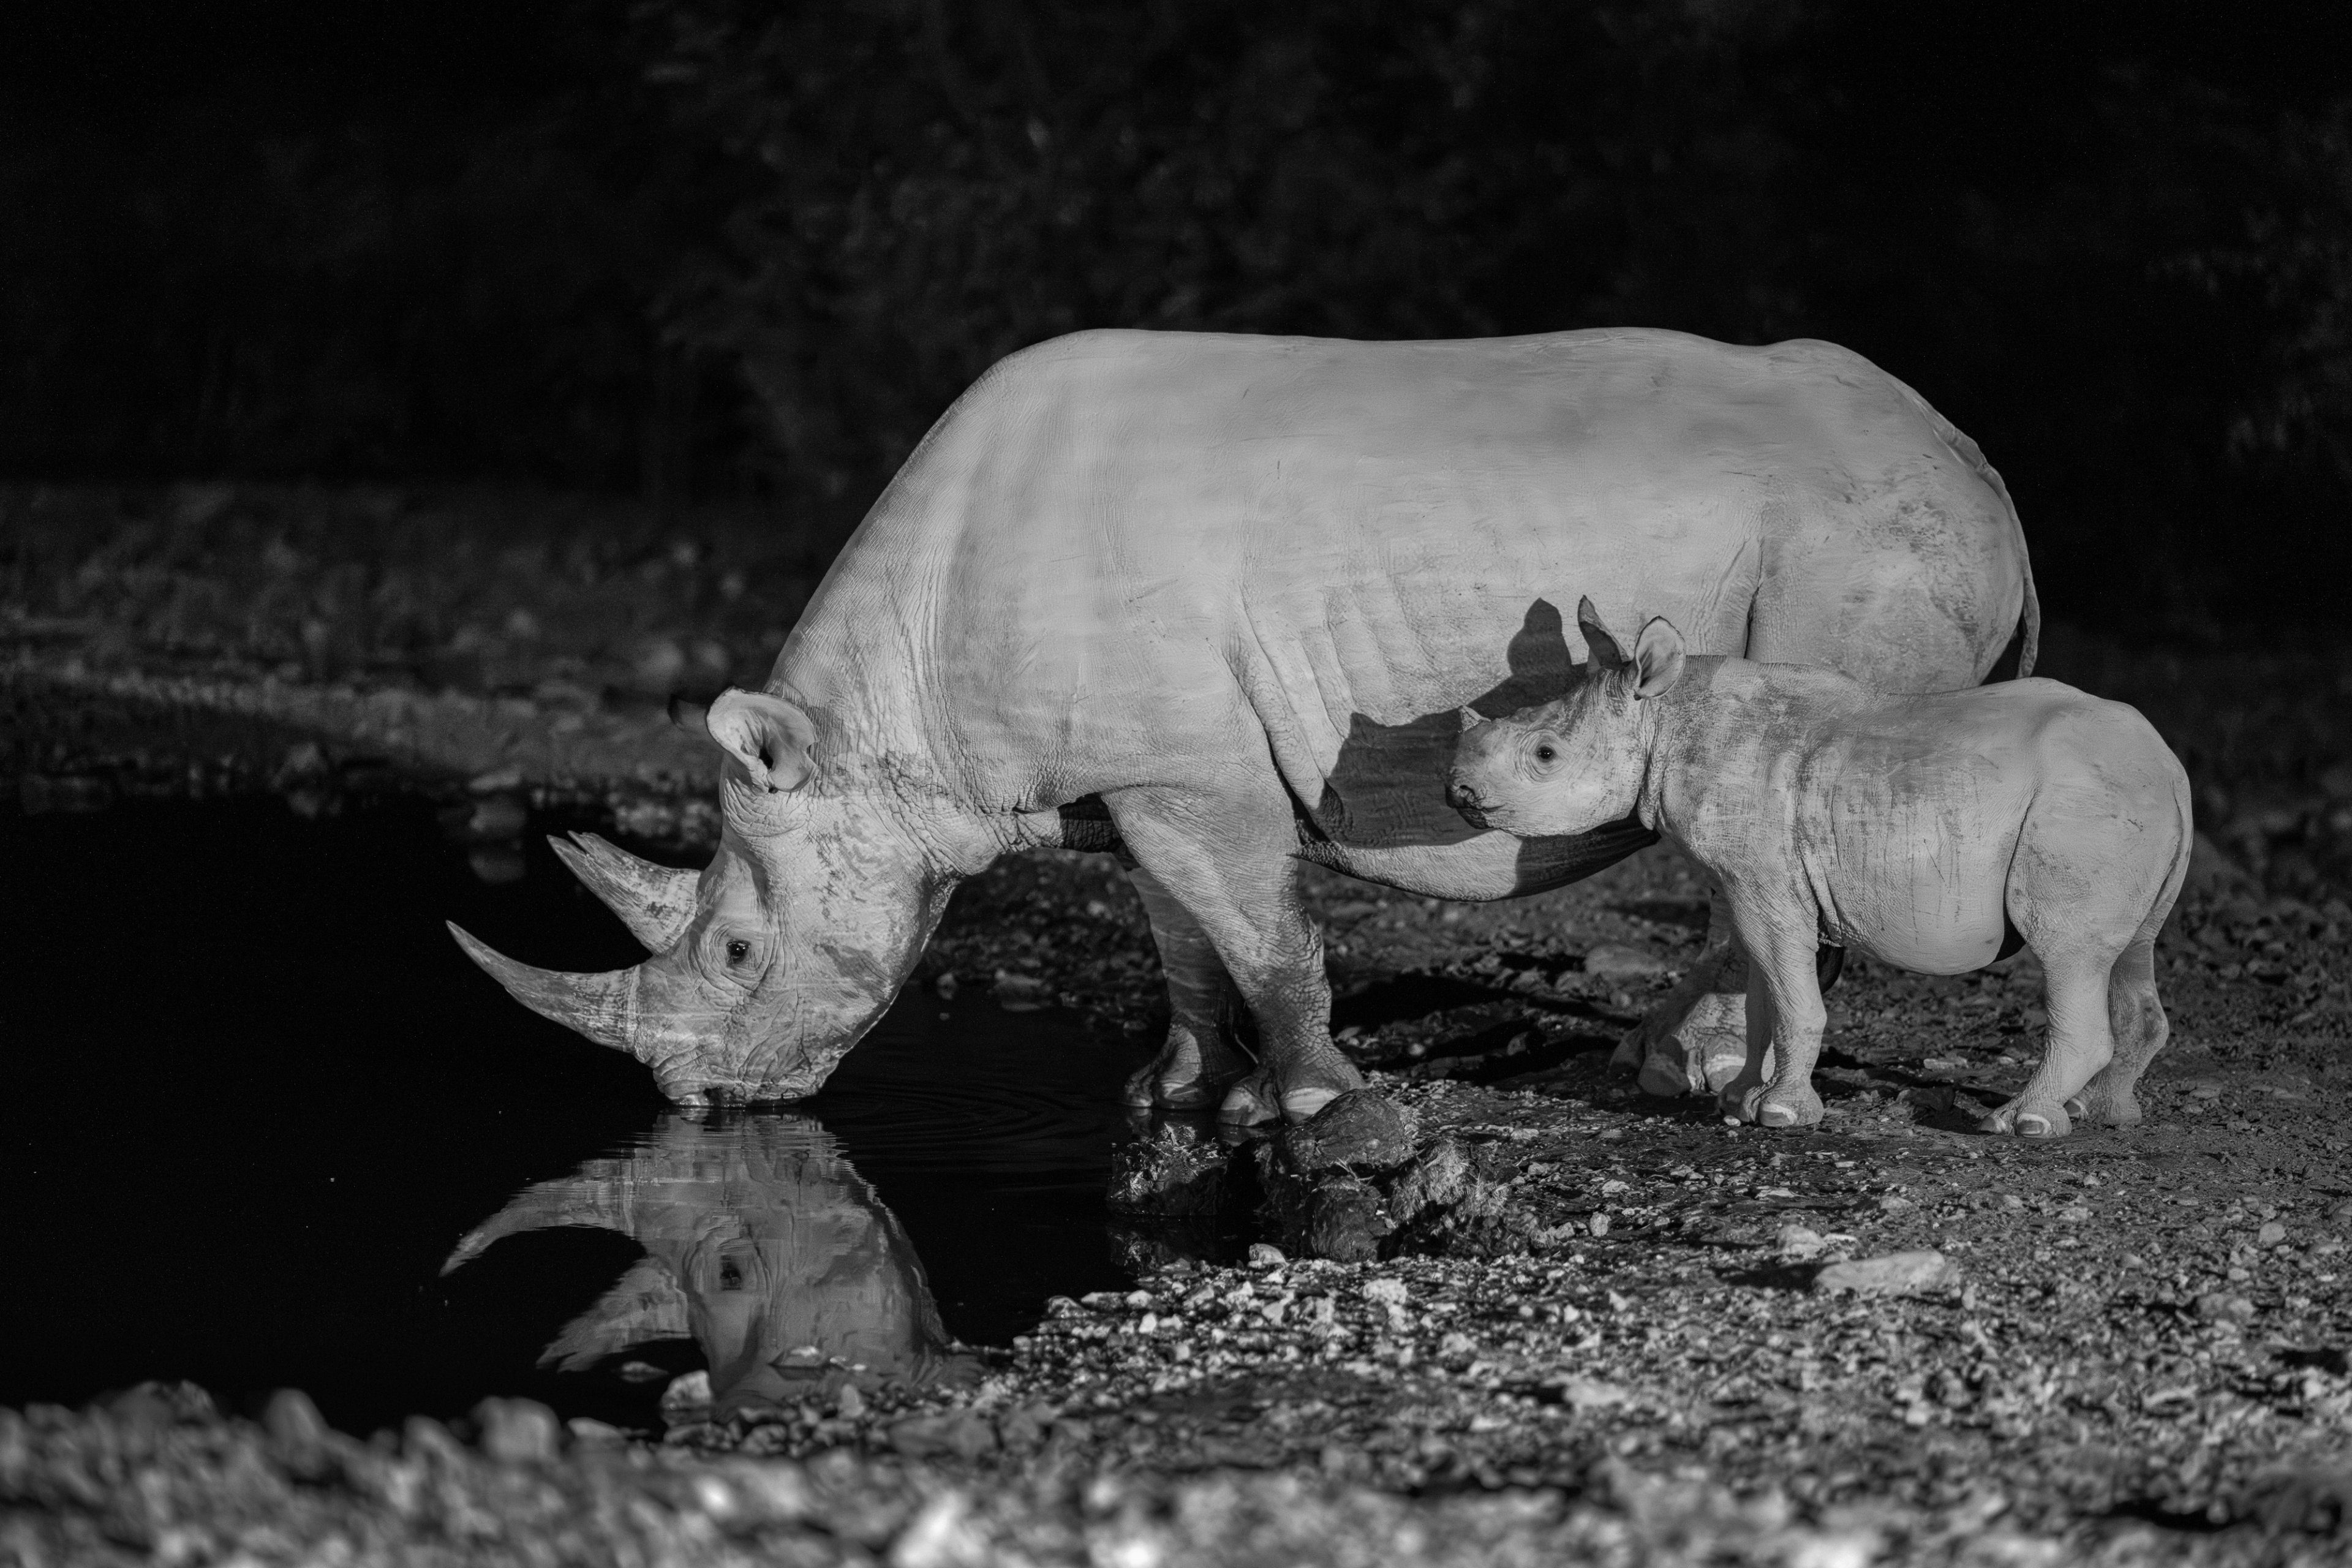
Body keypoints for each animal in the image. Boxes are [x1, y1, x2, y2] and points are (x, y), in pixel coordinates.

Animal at [448, 327, 2037, 1121]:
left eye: (733, 950)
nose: (696, 1100)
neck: (884, 716)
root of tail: (1978, 467)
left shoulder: (1186, 766)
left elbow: (1259, 922)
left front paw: (1316, 1103)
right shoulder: (1138, 760)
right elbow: (1176, 928)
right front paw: (1176, 1093)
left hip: (1855, 549)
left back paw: (1681, 1073)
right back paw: (1676, 1063)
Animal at [1445, 600, 2190, 1137]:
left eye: (1545, 754)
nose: (1456, 792)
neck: (1663, 717)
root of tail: (2171, 766)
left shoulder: (1765, 885)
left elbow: (1791, 996)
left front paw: (1779, 1116)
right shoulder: (1749, 881)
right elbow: (1760, 996)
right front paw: (1739, 1100)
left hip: (2081, 809)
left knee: (2067, 952)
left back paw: (2023, 1123)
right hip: (2126, 805)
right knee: (2131, 950)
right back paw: (2103, 1113)